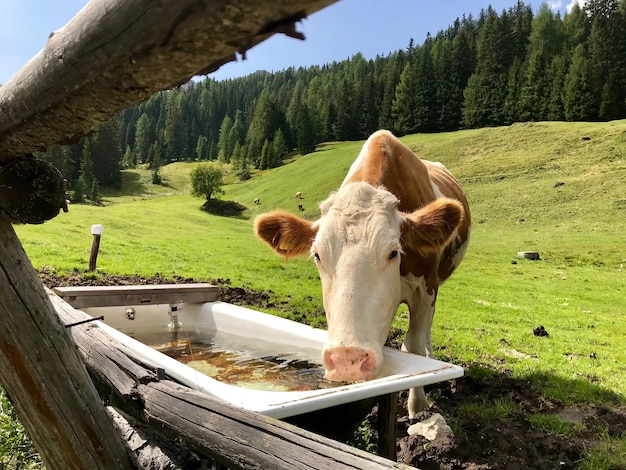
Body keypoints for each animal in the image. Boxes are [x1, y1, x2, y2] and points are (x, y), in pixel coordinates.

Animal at [254, 129, 468, 414]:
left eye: (393, 252)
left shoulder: (426, 289)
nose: (347, 359)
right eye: (317, 255)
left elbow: (414, 344)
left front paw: (418, 405)